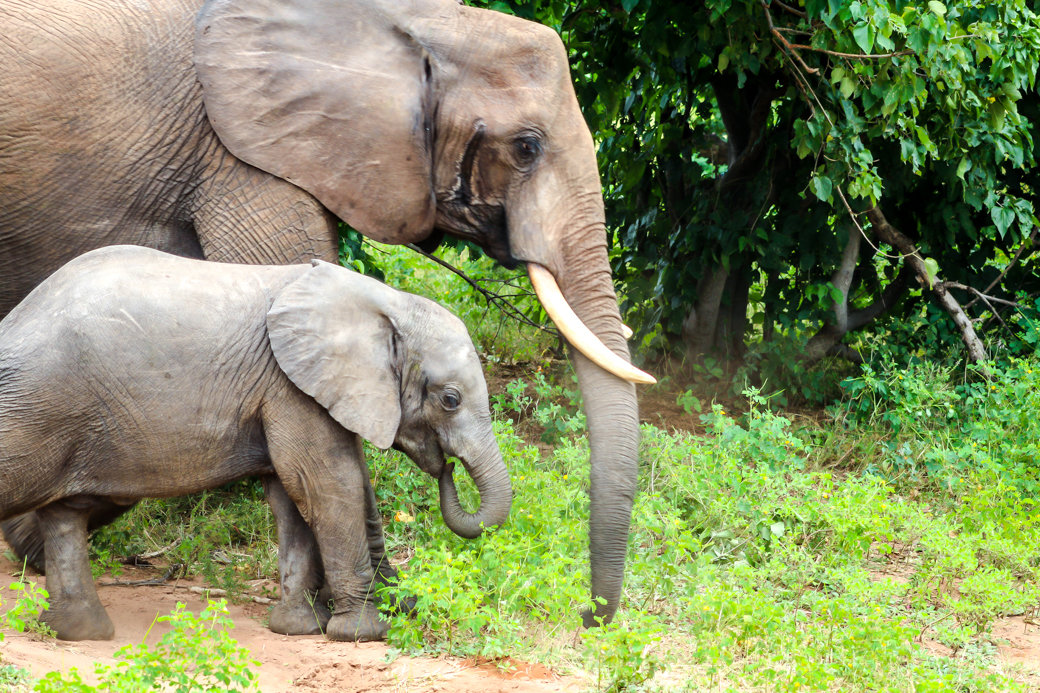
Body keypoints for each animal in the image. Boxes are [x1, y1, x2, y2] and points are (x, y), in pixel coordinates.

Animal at [0, 245, 511, 640]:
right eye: (450, 399)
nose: (445, 467)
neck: (386, 303)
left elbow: (296, 493)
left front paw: (302, 627)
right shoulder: (289, 386)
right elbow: (329, 486)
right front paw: (363, 633)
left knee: (66, 512)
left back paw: (72, 629)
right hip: (41, 402)